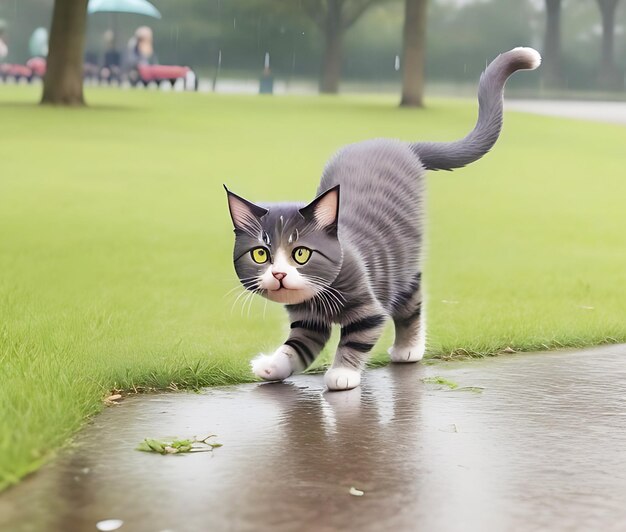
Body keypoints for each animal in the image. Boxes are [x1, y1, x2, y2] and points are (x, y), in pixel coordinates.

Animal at [227, 47, 540, 390]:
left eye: (301, 253)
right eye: (260, 254)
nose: (279, 274)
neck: (317, 298)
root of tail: (403, 146)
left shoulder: (368, 308)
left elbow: (357, 338)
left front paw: (342, 373)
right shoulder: (308, 321)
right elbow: (297, 346)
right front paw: (273, 365)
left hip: (402, 266)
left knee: (411, 301)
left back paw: (408, 348)